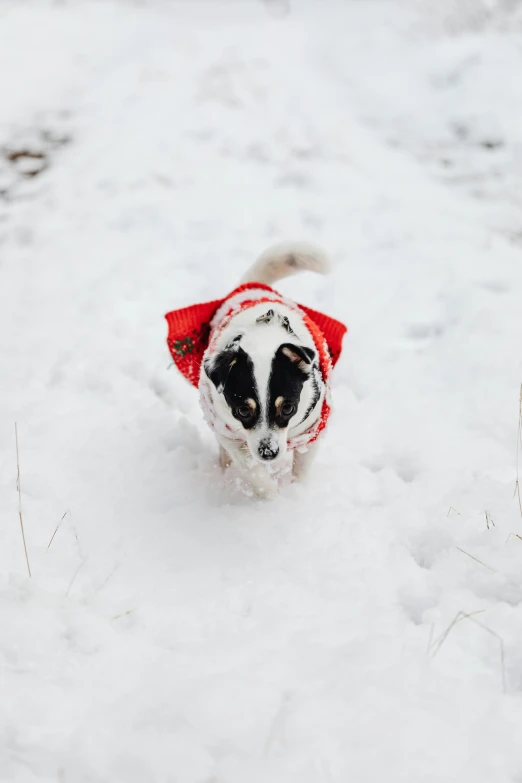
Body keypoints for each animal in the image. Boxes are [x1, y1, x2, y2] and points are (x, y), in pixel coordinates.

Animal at [166, 242, 346, 496]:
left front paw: (296, 492)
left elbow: (301, 468)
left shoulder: (314, 429)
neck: (263, 337)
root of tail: (250, 289)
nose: (268, 452)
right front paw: (271, 494)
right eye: (243, 410)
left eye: (288, 408)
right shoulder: (228, 431)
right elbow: (251, 469)